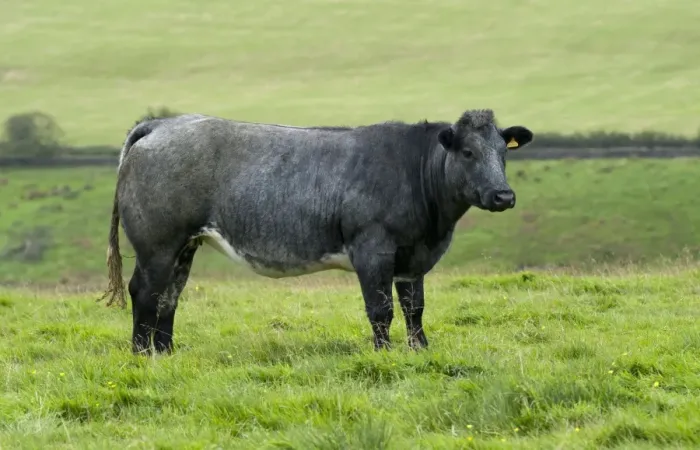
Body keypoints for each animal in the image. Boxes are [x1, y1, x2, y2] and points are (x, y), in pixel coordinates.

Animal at [99, 109, 533, 355]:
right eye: (467, 152)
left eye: (504, 152)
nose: (503, 195)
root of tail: (162, 124)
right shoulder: (372, 249)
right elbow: (381, 309)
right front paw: (384, 354)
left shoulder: (413, 259)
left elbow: (415, 308)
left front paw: (420, 350)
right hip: (157, 243)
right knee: (145, 292)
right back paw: (141, 353)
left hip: (184, 246)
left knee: (168, 297)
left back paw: (166, 352)